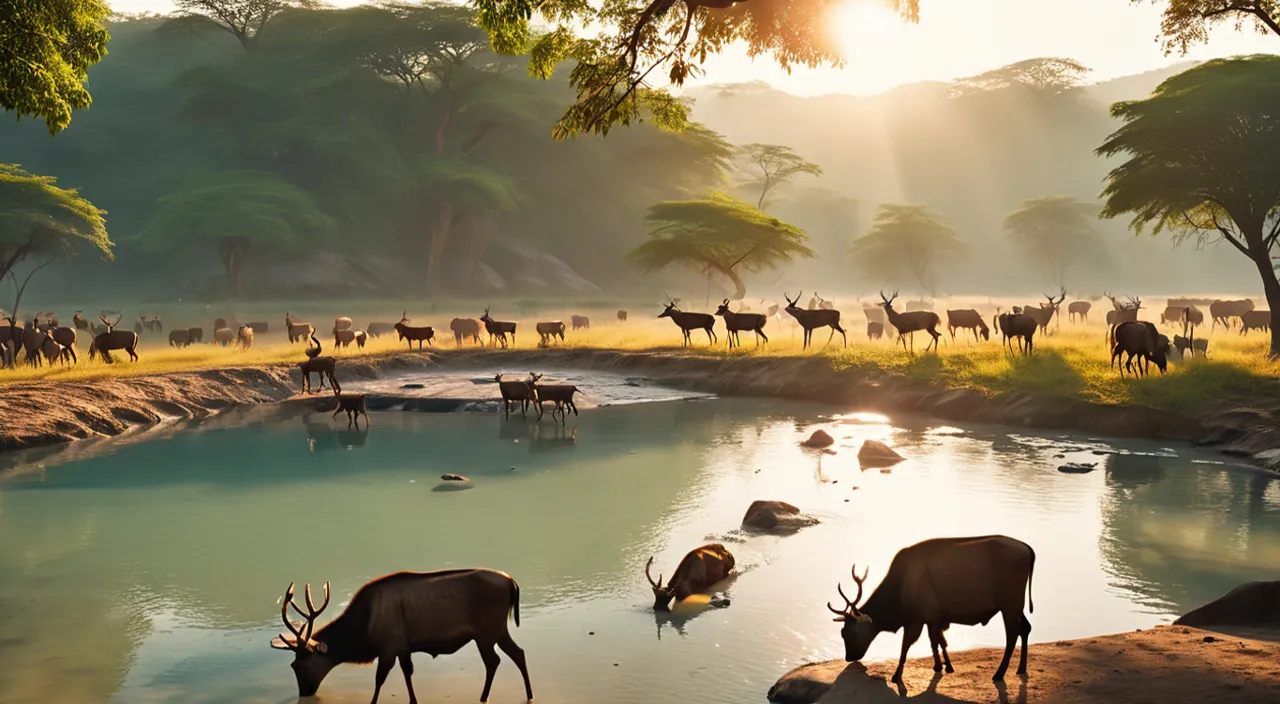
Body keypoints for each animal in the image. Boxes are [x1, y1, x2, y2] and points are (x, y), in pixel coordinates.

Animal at [267, 570, 532, 704]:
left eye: (299, 665)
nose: (305, 694)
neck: (364, 633)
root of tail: (512, 581)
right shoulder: (403, 646)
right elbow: (407, 673)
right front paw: (414, 700)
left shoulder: (388, 645)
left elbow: (379, 679)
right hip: (498, 629)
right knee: (518, 653)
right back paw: (529, 694)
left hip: (485, 631)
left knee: (494, 661)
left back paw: (483, 698)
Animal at [829, 540, 1039, 686]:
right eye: (842, 632)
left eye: (849, 632)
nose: (849, 657)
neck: (897, 602)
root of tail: (1029, 550)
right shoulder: (934, 616)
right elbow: (937, 641)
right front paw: (943, 665)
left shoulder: (917, 616)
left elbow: (907, 645)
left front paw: (897, 675)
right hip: (1015, 604)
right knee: (1026, 628)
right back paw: (1021, 668)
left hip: (1009, 602)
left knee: (1012, 634)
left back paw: (999, 673)